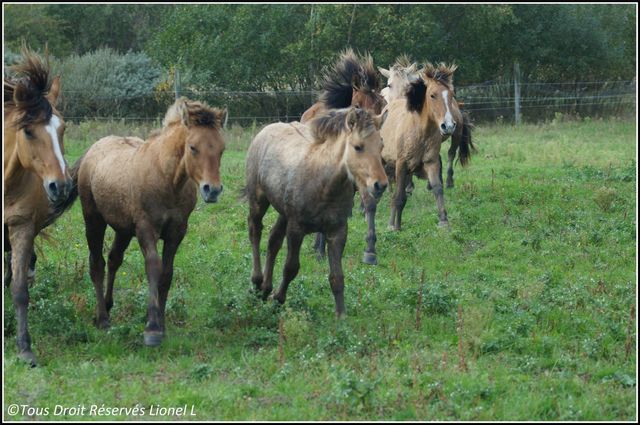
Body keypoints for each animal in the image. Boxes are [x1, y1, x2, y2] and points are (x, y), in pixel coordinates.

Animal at [74, 97, 228, 346]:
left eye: (222, 149)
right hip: (93, 220)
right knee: (97, 264)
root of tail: (92, 151)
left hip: (123, 229)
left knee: (114, 259)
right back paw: (102, 319)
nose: (212, 190)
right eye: (193, 147)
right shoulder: (147, 229)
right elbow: (153, 268)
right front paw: (152, 328)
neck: (167, 180)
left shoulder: (177, 232)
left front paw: (162, 325)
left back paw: (107, 305)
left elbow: (167, 273)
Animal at [245, 107, 388, 316]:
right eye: (358, 147)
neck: (324, 184)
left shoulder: (337, 232)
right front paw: (278, 299)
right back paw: (257, 282)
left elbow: (337, 277)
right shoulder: (296, 228)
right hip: (258, 201)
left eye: (381, 146)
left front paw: (341, 317)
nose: (380, 185)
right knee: (255, 232)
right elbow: (291, 268)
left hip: (283, 213)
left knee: (273, 240)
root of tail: (265, 130)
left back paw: (265, 289)